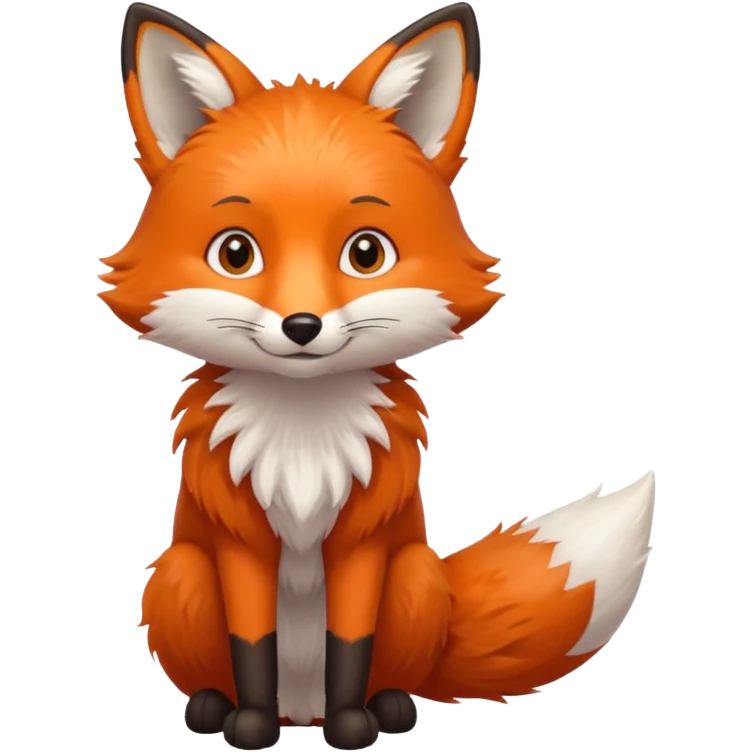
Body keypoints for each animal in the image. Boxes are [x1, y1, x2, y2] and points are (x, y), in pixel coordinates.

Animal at [102, 3, 657, 751]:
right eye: (236, 254)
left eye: (366, 253)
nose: (301, 326)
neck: (301, 437)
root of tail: (298, 708)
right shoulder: (239, 543)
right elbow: (252, 643)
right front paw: (250, 725)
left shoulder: (363, 543)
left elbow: (350, 642)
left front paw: (351, 726)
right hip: (179, 572)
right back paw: (218, 709)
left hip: (414, 577)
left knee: (392, 670)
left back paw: (388, 705)